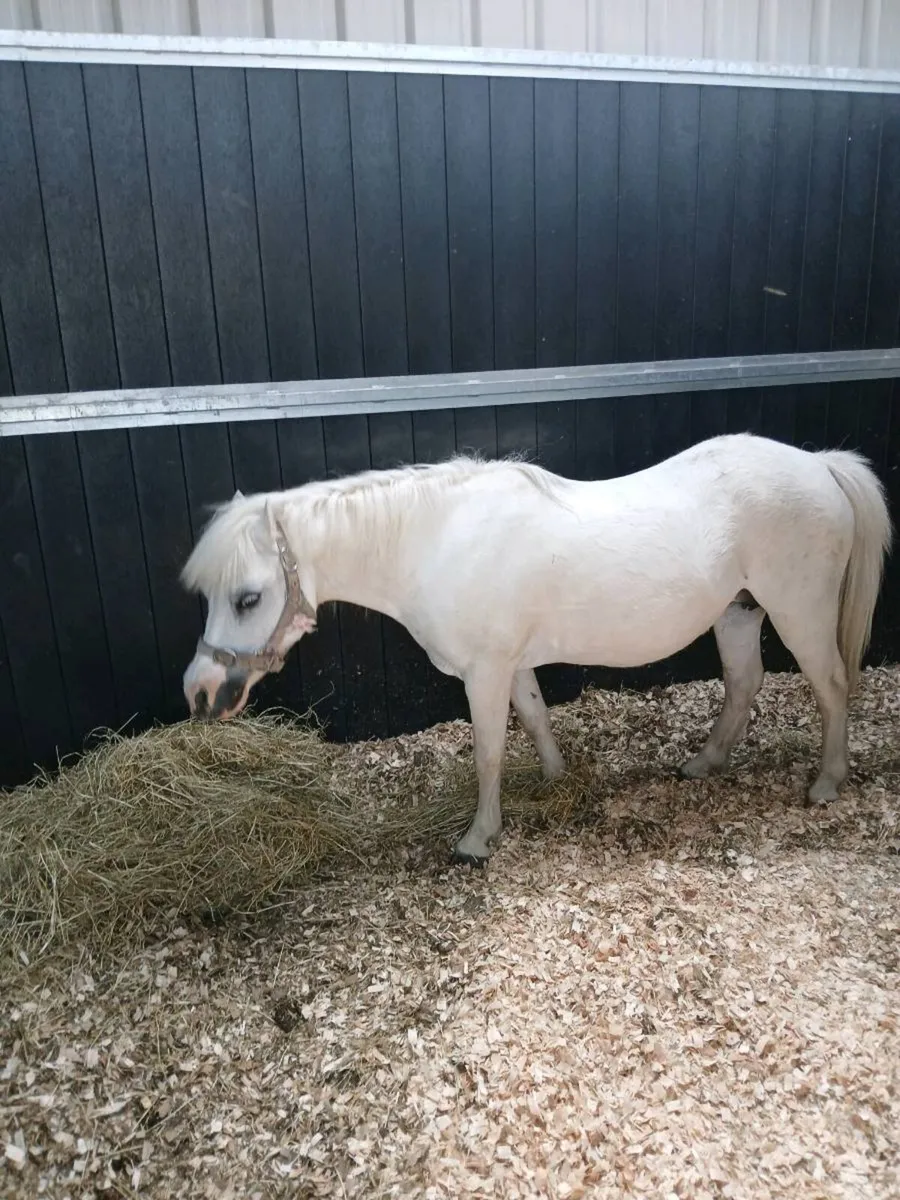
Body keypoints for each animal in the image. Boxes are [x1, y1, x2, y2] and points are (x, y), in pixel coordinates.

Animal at [180, 432, 892, 865]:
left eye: (248, 598)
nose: (200, 692)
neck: (437, 542)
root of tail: (820, 463)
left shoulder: (485, 670)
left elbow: (490, 751)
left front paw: (478, 839)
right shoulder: (511, 663)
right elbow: (536, 716)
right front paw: (554, 778)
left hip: (799, 612)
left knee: (831, 685)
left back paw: (827, 782)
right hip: (738, 612)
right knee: (744, 684)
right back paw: (703, 763)